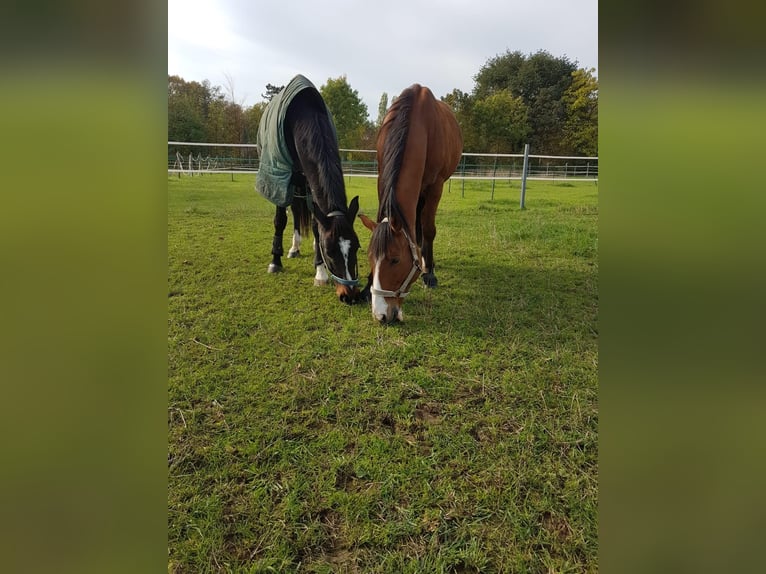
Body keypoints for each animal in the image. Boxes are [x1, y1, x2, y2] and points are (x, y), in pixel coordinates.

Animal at [358, 84, 462, 324]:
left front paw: (429, 273)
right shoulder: (382, 178)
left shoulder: (435, 186)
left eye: (395, 260)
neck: (420, 123)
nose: (380, 314)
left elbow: (430, 230)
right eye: (369, 257)